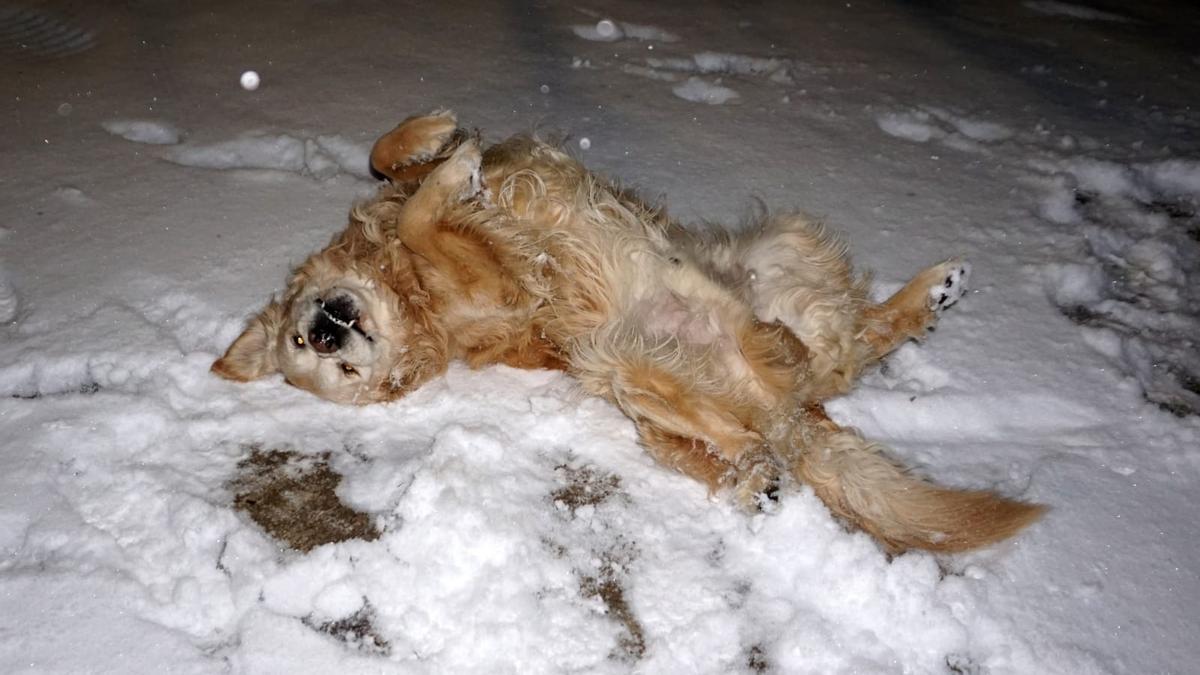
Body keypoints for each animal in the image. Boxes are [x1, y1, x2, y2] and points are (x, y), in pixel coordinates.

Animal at [211, 110, 1046, 552]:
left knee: (845, 346)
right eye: (334, 373)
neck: (405, 286)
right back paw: (767, 413)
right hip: (619, 358)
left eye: (299, 344)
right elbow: (425, 210)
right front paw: (453, 177)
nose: (326, 333)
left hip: (780, 246)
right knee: (785, 396)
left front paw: (439, 139)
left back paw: (928, 292)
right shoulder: (500, 282)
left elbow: (390, 159)